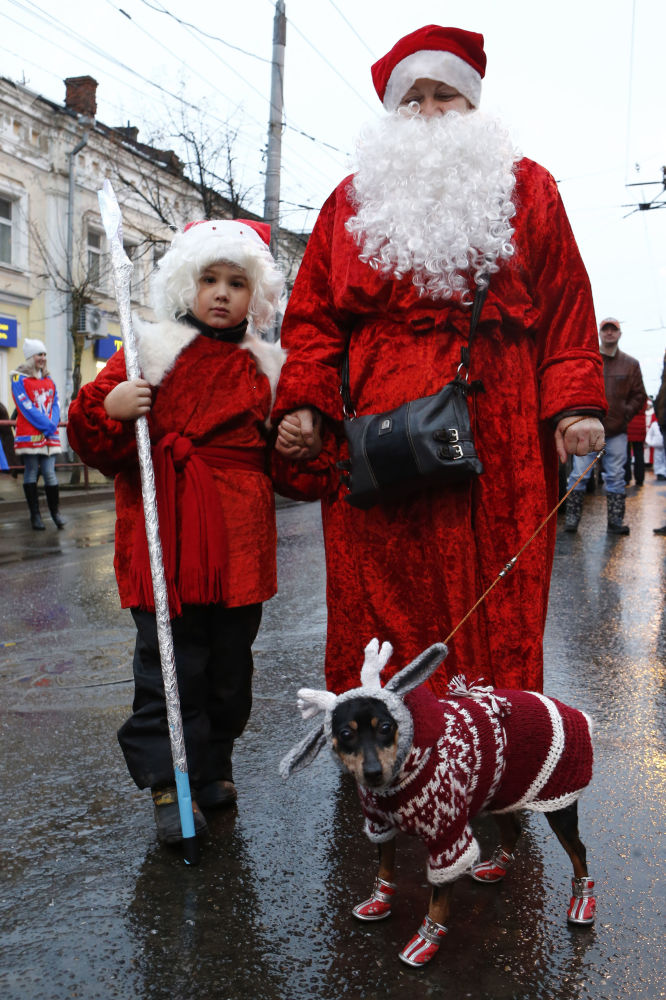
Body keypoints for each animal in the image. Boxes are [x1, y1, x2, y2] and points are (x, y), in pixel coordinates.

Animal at [278, 640, 592, 968]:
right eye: (346, 734)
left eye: (386, 727)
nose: (374, 772)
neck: (405, 770)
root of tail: (574, 712)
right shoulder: (381, 826)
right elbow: (385, 870)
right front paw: (379, 903)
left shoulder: (448, 838)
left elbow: (438, 900)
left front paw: (425, 942)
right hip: (499, 791)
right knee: (513, 829)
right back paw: (496, 869)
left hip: (559, 803)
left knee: (578, 852)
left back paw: (583, 903)